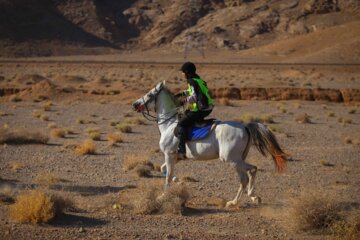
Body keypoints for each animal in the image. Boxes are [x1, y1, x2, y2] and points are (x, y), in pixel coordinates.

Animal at [132, 81, 286, 208]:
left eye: (150, 94)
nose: (134, 104)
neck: (169, 124)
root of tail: (245, 127)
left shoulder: (169, 155)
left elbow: (168, 176)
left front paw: (162, 196)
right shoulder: (175, 157)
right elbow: (164, 170)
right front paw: (178, 181)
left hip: (231, 159)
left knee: (252, 170)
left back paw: (248, 198)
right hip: (237, 160)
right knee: (244, 178)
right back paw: (238, 201)